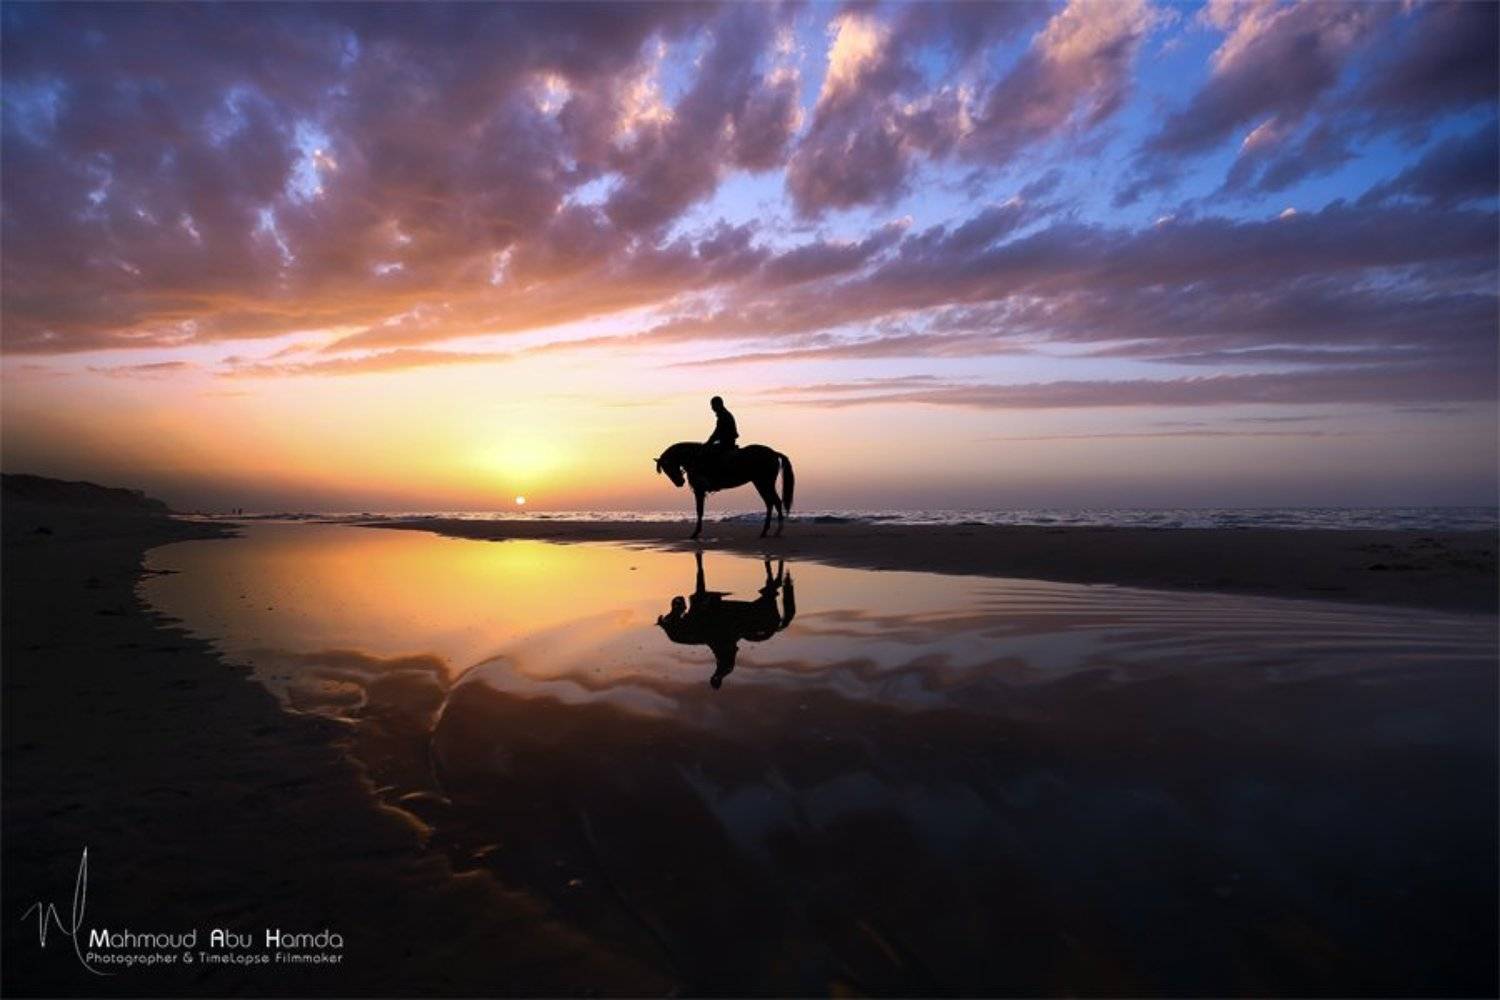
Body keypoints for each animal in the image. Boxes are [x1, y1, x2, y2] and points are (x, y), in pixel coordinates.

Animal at [654, 441, 794, 539]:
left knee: (775, 502)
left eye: (668, 466)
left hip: (764, 483)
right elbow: (700, 511)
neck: (695, 458)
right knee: (770, 503)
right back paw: (765, 532)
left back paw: (776, 531)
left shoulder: (699, 490)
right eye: (665, 469)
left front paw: (695, 533)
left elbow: (699, 511)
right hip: (760, 484)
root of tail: (774, 452)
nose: (679, 483)